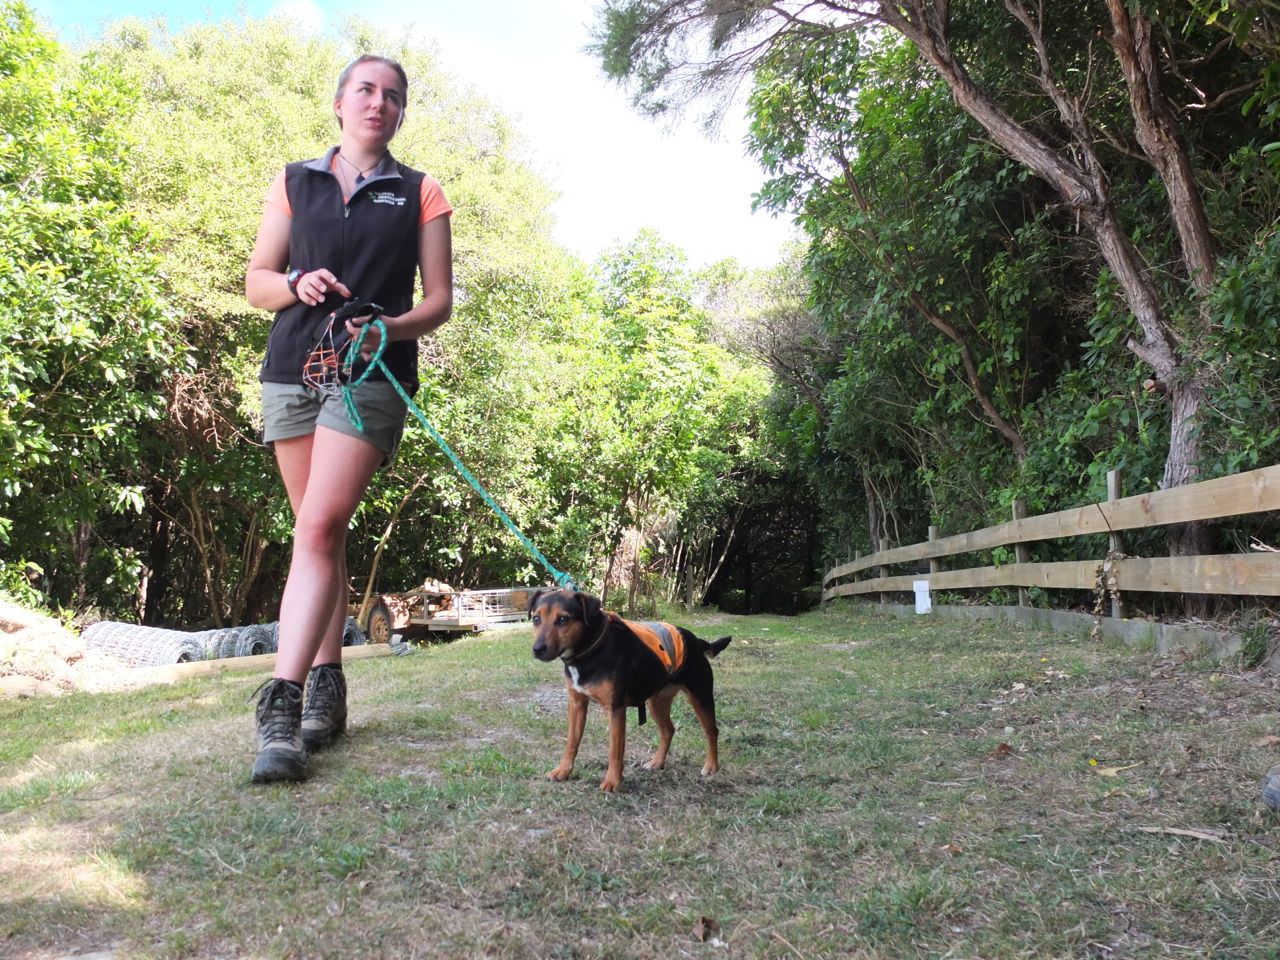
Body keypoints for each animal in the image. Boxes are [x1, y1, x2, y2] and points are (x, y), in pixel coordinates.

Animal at [529, 589, 731, 792]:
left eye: (563, 619)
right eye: (536, 619)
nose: (537, 649)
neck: (591, 649)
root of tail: (696, 640)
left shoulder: (616, 708)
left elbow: (615, 750)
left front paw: (612, 782)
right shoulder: (576, 703)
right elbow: (571, 742)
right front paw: (562, 771)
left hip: (701, 697)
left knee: (712, 731)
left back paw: (711, 766)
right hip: (657, 702)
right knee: (668, 730)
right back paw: (657, 762)